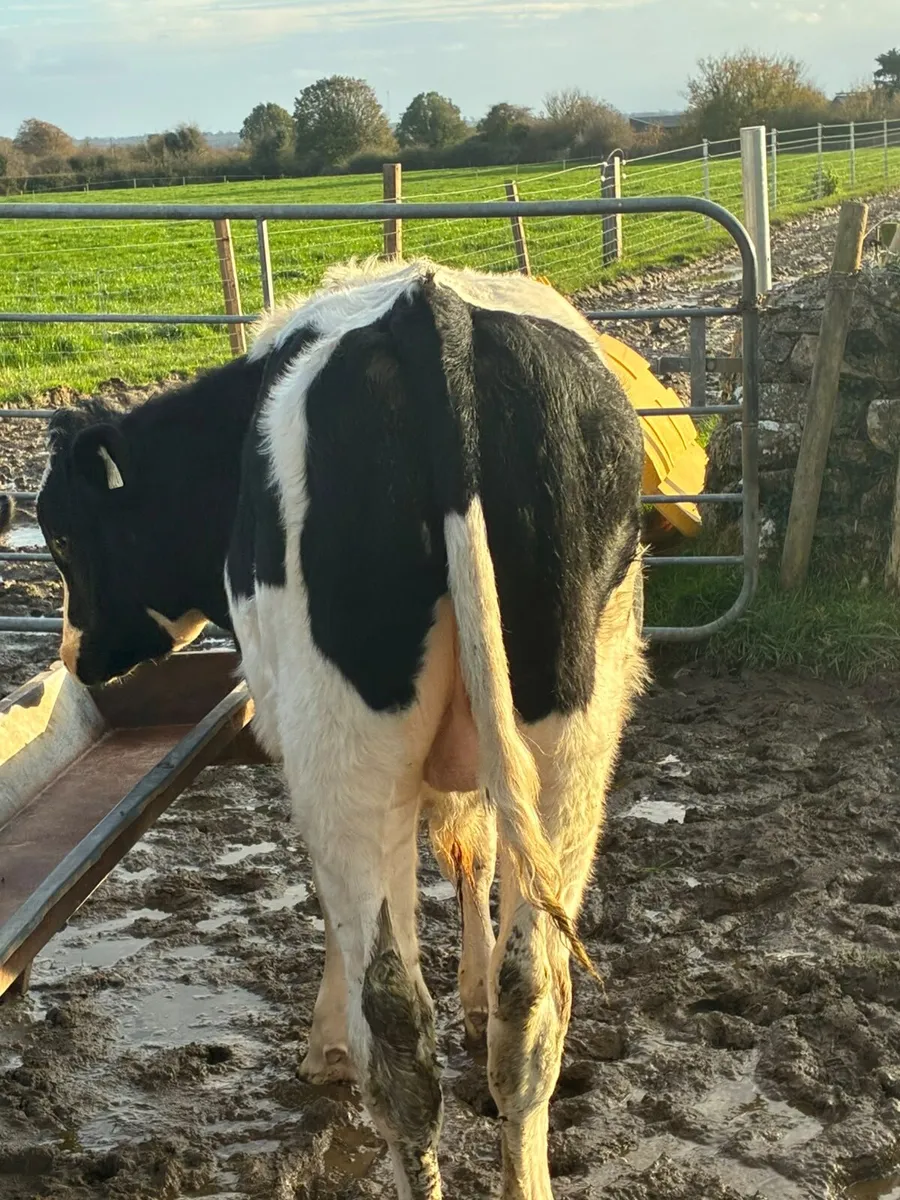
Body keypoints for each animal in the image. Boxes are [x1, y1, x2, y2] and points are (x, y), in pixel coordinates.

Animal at [36, 258, 647, 1199]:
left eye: (62, 536)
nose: (76, 656)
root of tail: (427, 310)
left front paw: (325, 1047)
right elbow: (470, 853)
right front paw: (472, 988)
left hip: (346, 742)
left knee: (396, 1024)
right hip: (573, 734)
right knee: (534, 1002)